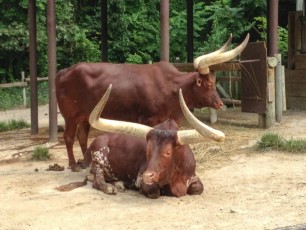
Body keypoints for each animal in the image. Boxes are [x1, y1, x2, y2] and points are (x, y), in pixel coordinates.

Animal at [55, 33, 249, 171]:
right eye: (208, 84)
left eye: (214, 83)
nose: (220, 104)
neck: (171, 87)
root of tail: (64, 72)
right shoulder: (147, 119)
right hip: (70, 116)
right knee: (69, 137)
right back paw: (73, 165)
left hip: (85, 116)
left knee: (82, 136)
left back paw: (85, 162)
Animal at [77, 84, 225, 198]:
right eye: (147, 150)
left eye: (167, 153)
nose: (148, 176)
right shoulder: (142, 180)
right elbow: (155, 191)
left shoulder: (193, 177)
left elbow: (198, 188)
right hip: (98, 158)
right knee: (96, 179)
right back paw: (110, 187)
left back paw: (119, 184)